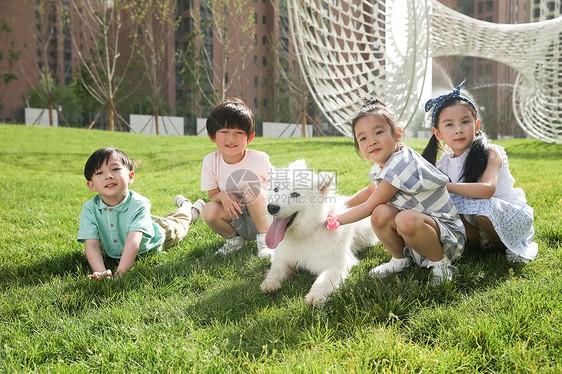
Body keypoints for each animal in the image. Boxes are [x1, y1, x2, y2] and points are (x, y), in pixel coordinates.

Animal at [262, 160, 376, 306]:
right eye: (276, 189)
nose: (271, 207)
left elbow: (323, 281)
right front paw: (269, 283)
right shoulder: (283, 259)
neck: (305, 234)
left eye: (295, 194)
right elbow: (276, 271)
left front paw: (315, 296)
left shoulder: (336, 265)